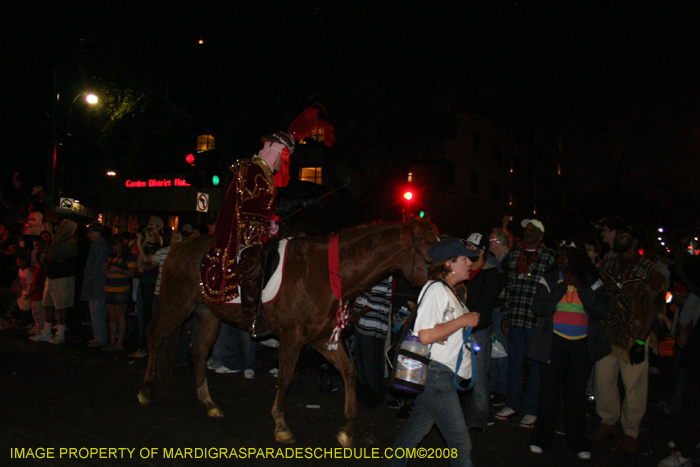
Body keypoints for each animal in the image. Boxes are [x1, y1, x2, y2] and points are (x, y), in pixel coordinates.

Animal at [138, 214, 438, 448]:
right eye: (430, 248)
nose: (446, 282)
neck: (328, 273)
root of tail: (176, 249)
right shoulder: (293, 338)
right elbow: (285, 378)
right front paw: (281, 426)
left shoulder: (320, 340)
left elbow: (350, 374)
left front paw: (347, 430)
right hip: (177, 307)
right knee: (155, 337)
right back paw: (146, 390)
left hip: (209, 315)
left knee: (199, 352)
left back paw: (208, 402)